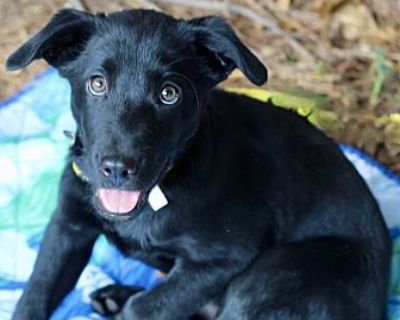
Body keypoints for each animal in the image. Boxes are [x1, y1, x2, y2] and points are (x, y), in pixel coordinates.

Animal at [6, 8, 392, 320]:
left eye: (169, 94)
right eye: (97, 84)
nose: (117, 169)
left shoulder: (225, 258)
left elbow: (147, 308)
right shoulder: (67, 225)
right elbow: (35, 292)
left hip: (277, 275)